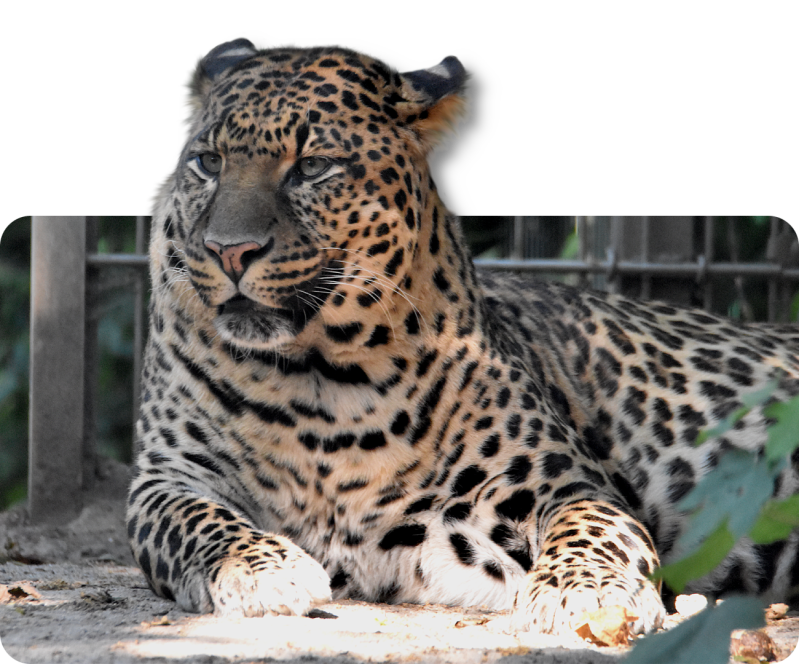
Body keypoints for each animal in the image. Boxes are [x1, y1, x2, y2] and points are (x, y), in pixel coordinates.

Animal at [128, 36, 799, 636]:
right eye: (209, 163)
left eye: (312, 167)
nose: (228, 250)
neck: (320, 383)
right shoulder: (166, 476)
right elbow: (193, 519)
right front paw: (262, 571)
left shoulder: (563, 482)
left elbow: (593, 524)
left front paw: (586, 591)